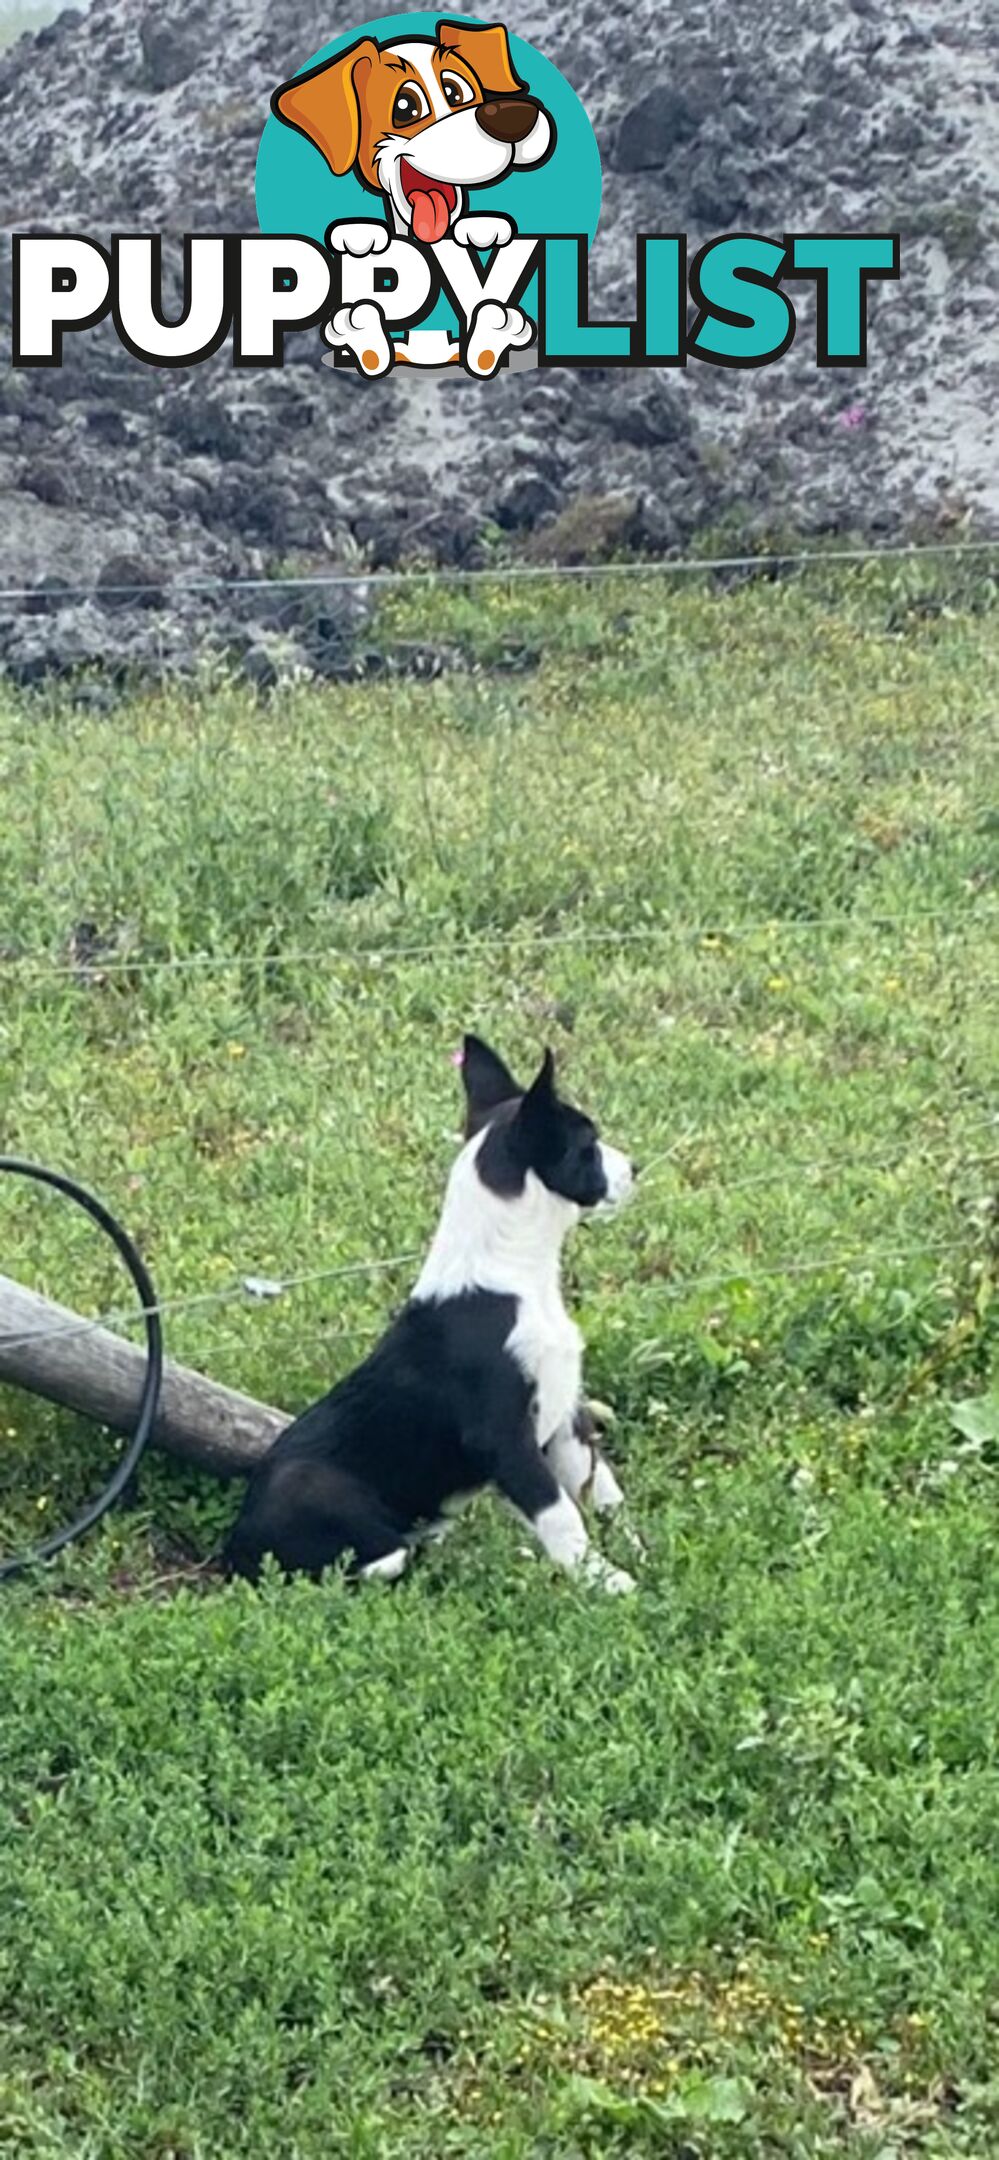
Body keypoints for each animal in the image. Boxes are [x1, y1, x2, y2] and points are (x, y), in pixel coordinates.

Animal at [223, 1036, 635, 1598]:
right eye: (588, 1145)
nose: (635, 1168)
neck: (516, 1278)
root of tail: (234, 1545)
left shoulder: (566, 1413)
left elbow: (603, 1489)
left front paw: (640, 1551)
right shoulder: (505, 1436)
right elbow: (560, 1512)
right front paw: (605, 1580)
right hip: (313, 1489)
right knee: (364, 1561)